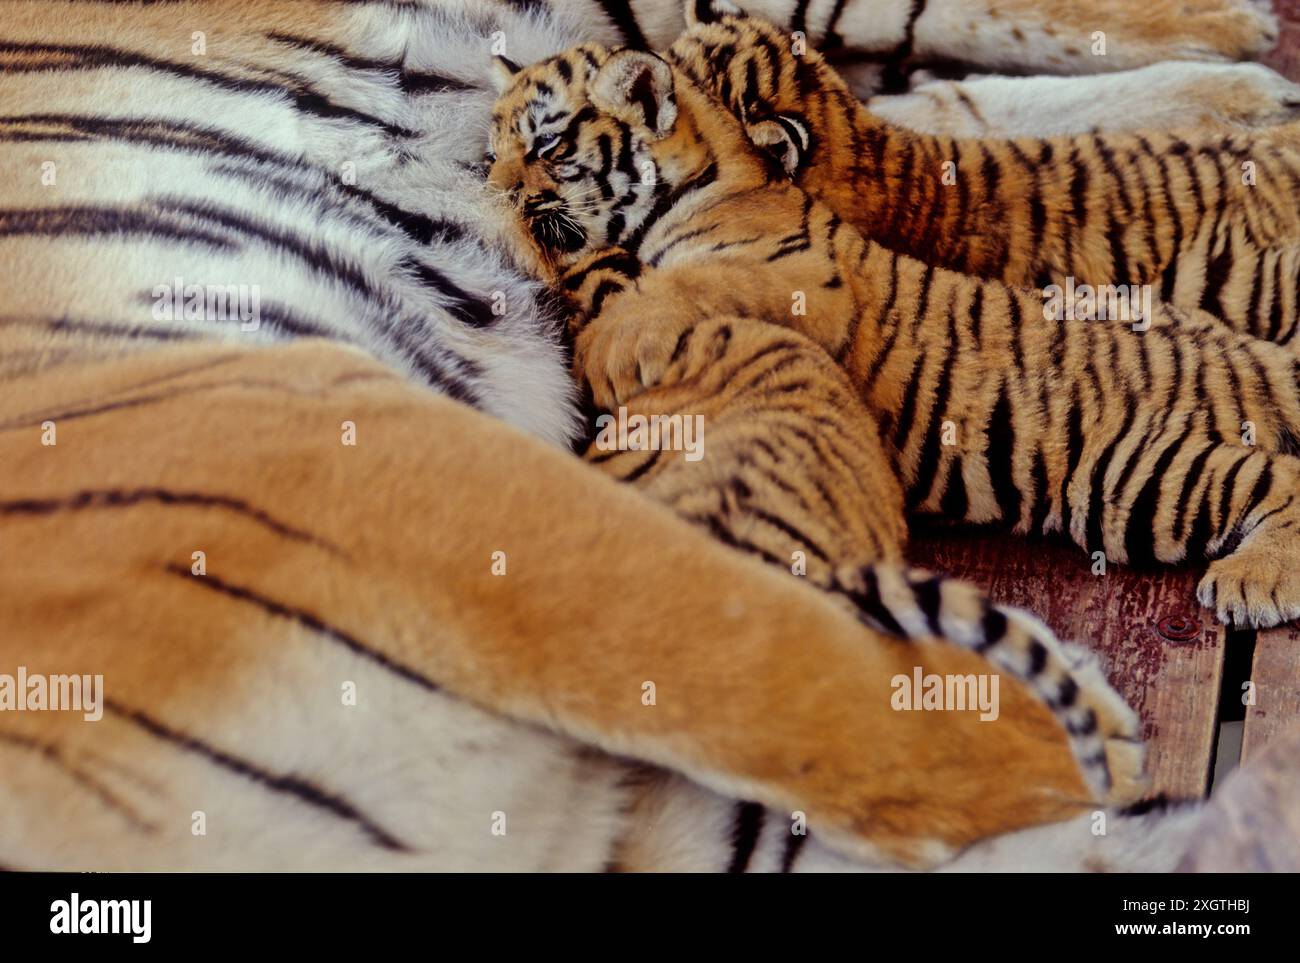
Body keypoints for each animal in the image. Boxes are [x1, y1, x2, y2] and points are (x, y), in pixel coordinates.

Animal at [486, 38, 1300, 634]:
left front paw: (609, 349)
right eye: (493, 147)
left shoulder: (803, 278)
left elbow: (678, 290)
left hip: (1131, 472)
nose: (491, 190)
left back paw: (1252, 582)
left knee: (1278, 477)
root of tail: (1252, 362)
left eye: (549, 146)